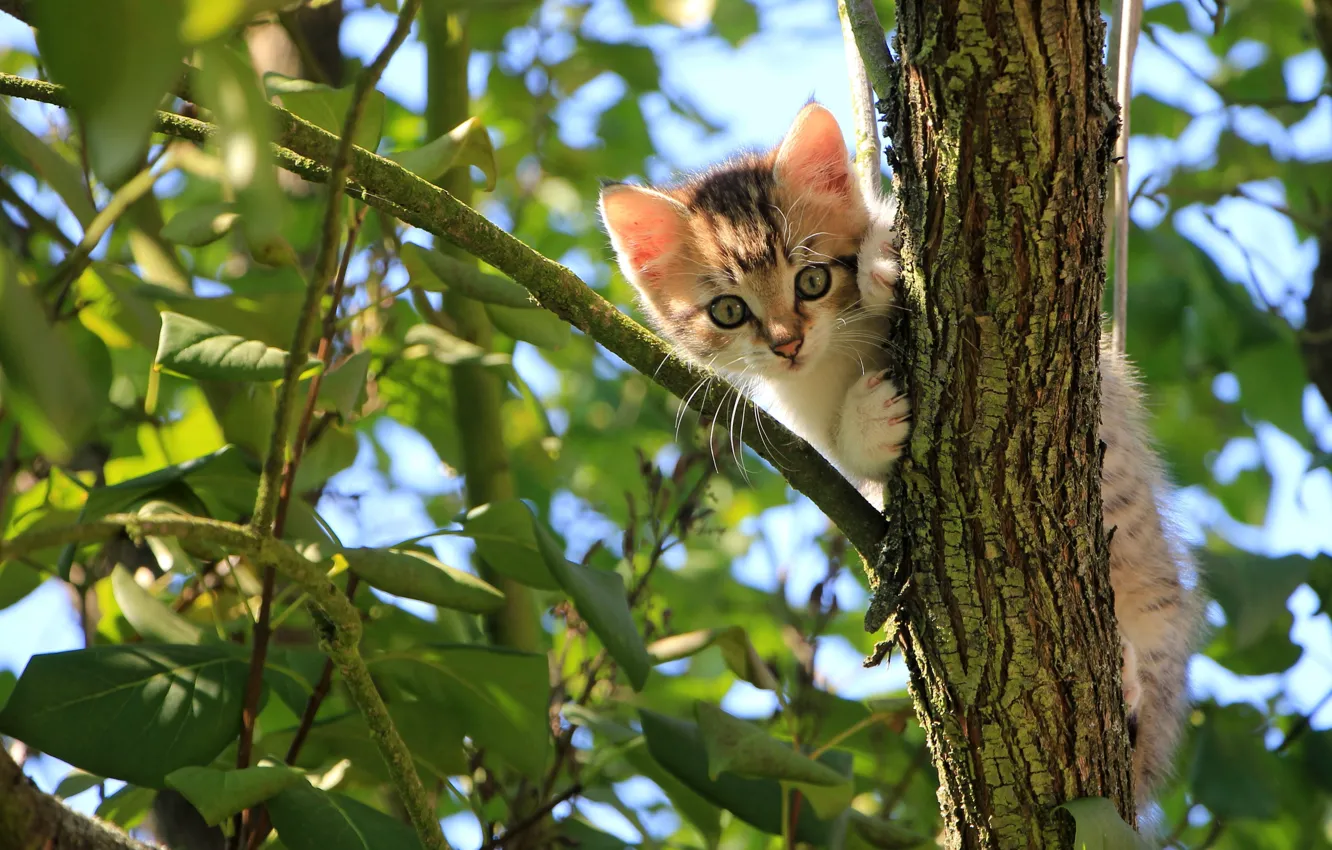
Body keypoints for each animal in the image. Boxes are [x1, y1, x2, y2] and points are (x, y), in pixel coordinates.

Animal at [599, 103, 1204, 810]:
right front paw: (870, 420)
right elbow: (843, 452)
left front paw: (883, 264)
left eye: (812, 279)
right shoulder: (804, 418)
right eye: (728, 311)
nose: (786, 343)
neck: (837, 352)